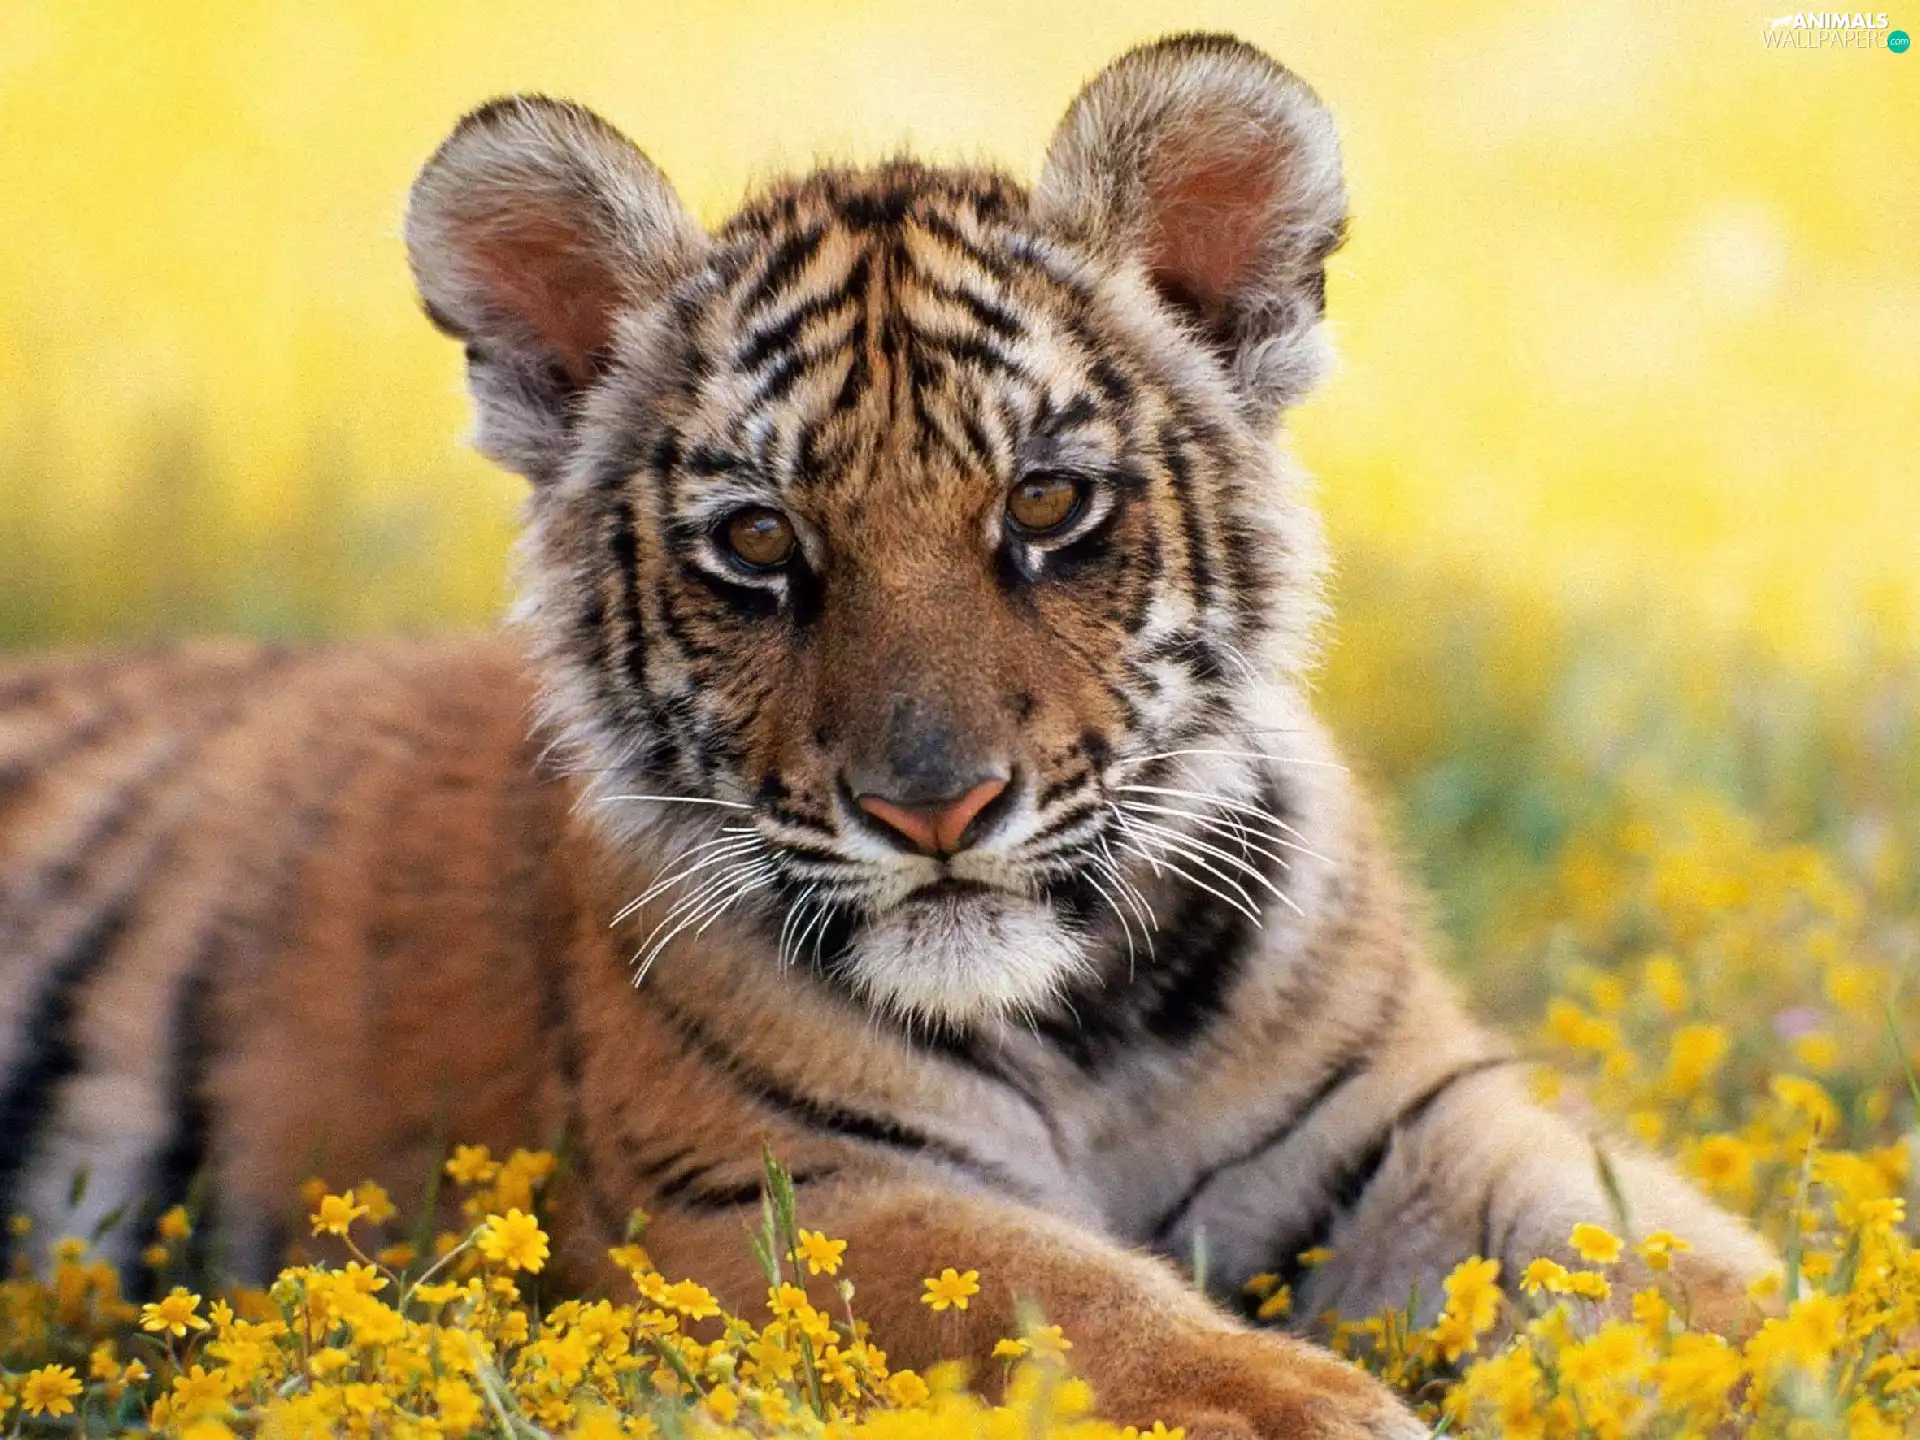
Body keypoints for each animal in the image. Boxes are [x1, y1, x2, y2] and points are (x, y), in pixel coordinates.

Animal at [0, 33, 1774, 1437]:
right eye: (759, 543)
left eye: (1046, 506)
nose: (935, 809)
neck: (1087, 1025)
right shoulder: (776, 1195)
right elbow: (1077, 1303)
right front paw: (1321, 1412)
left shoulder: (1406, 1119)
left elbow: (1675, 1261)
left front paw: (1786, 1359)